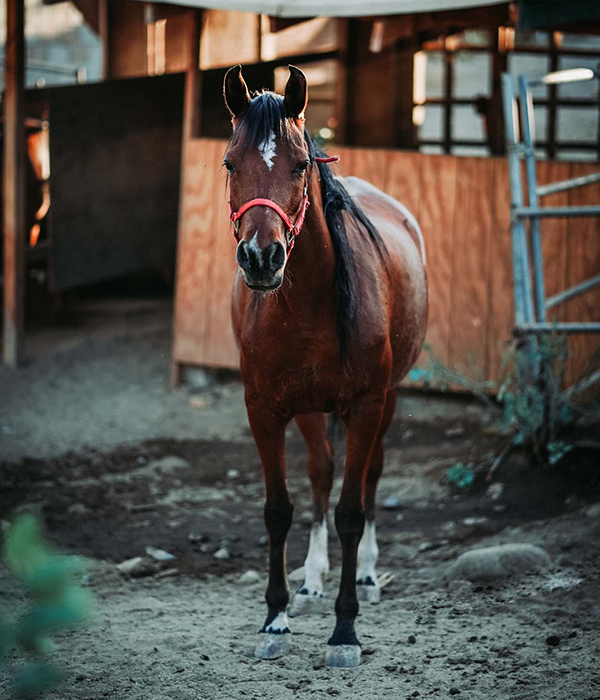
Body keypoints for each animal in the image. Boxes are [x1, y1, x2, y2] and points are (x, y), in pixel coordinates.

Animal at [223, 64, 428, 668]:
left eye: (299, 165)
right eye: (230, 163)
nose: (260, 257)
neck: (305, 304)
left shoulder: (364, 407)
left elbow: (352, 511)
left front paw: (345, 632)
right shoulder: (264, 410)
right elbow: (279, 509)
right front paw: (275, 620)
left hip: (387, 401)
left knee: (371, 475)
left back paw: (366, 575)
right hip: (312, 410)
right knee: (319, 472)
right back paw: (313, 579)